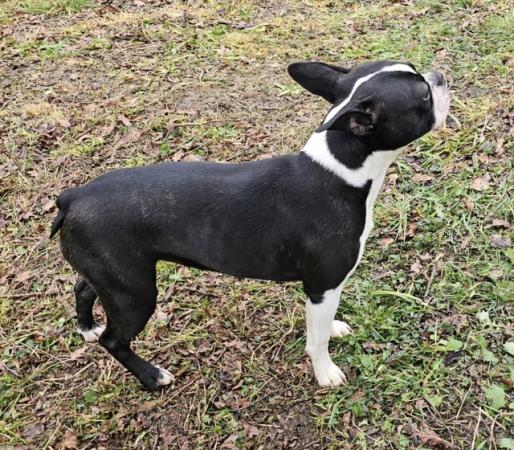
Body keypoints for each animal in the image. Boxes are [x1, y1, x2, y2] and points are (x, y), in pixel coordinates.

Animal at [51, 59, 448, 390]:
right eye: (423, 97)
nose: (440, 77)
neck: (341, 171)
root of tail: (74, 196)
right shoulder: (323, 285)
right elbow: (316, 339)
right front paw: (325, 373)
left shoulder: (325, 292)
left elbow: (323, 324)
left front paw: (333, 328)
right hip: (135, 293)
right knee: (115, 340)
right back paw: (151, 376)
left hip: (112, 274)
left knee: (83, 288)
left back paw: (88, 327)